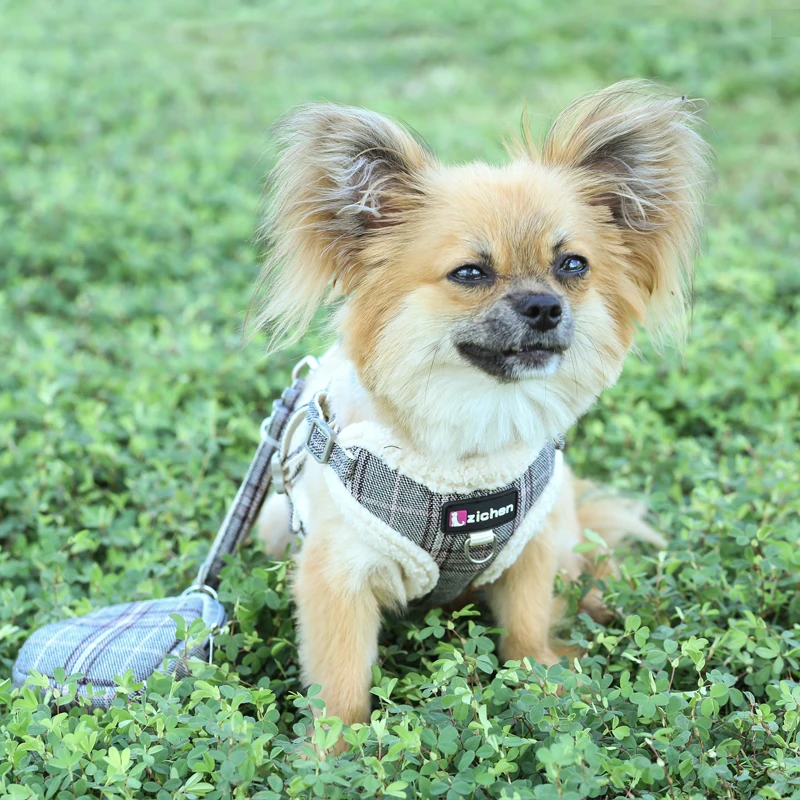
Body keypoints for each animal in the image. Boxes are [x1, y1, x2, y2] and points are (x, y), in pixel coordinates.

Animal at [253, 83, 708, 732]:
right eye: (470, 272)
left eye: (573, 265)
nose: (544, 307)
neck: (473, 443)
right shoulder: (338, 574)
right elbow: (339, 689)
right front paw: (333, 749)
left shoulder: (532, 547)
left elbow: (526, 628)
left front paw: (546, 678)